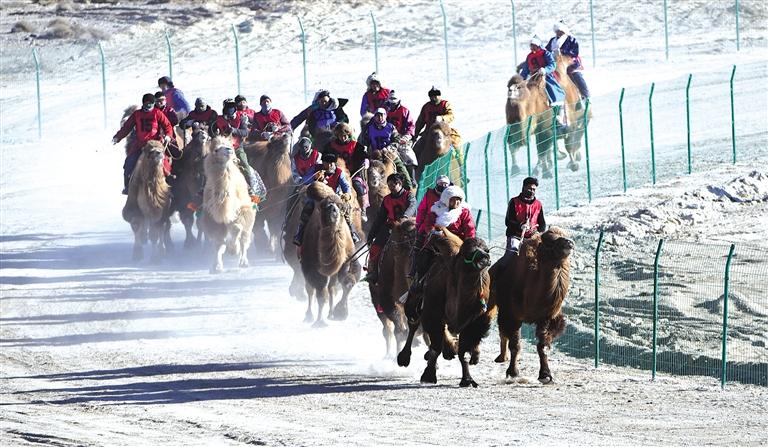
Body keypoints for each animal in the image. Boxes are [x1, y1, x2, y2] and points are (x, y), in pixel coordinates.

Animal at [198, 135, 258, 272]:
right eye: (216, 149)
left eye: (229, 146)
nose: (229, 150)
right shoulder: (213, 218)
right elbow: (218, 244)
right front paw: (216, 266)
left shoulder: (243, 211)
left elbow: (237, 229)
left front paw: (233, 249)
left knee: (244, 239)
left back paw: (243, 262)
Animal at [300, 181, 360, 326]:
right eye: (322, 207)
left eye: (341, 206)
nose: (332, 209)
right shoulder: (311, 266)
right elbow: (320, 291)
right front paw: (320, 322)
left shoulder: (349, 260)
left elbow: (348, 282)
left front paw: (341, 312)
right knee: (311, 289)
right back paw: (309, 315)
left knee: (331, 288)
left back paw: (331, 313)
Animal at [488, 228, 572, 384]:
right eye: (550, 241)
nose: (569, 242)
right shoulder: (512, 315)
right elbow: (515, 345)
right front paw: (512, 372)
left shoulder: (546, 317)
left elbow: (543, 346)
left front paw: (546, 375)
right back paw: (500, 358)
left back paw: (503, 358)